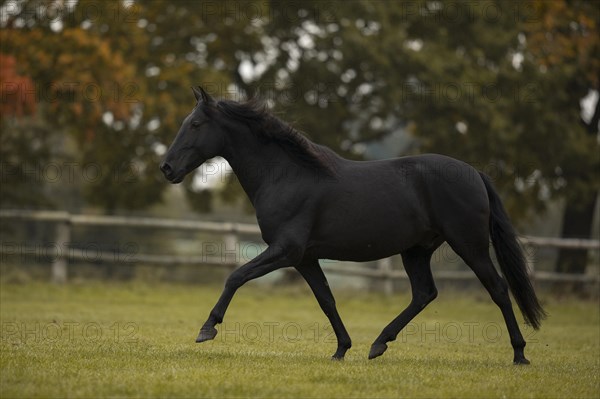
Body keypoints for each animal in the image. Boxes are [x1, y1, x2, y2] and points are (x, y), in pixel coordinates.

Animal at [162, 87, 548, 366]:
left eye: (195, 124)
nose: (166, 168)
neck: (287, 175)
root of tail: (476, 173)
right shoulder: (304, 258)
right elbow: (326, 299)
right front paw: (341, 349)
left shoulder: (285, 250)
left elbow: (235, 276)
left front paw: (207, 328)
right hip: (416, 251)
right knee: (424, 294)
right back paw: (378, 345)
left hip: (468, 244)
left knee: (498, 289)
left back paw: (520, 354)